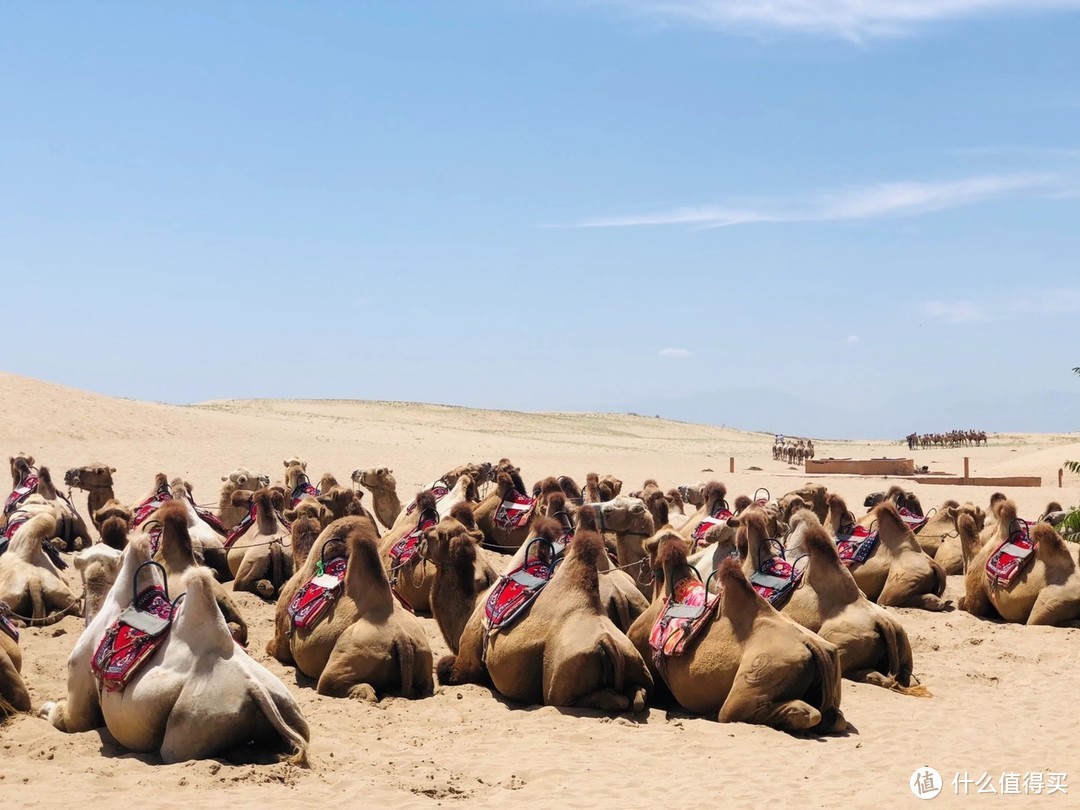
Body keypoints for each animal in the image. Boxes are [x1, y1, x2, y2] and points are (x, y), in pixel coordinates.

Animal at [40, 542, 311, 764]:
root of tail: (256, 689)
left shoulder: (78, 672)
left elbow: (68, 718)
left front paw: (44, 708)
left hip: (190, 726)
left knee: (175, 751)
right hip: (290, 708)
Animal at [265, 520, 434, 704]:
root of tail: (401, 637)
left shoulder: (281, 639)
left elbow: (273, 648)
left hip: (353, 653)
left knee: (336, 683)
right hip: (424, 658)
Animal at [436, 527, 652, 708]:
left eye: (436, 535)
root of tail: (607, 641)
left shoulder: (467, 661)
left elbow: (445, 669)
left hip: (562, 676)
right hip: (633, 658)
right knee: (638, 695)